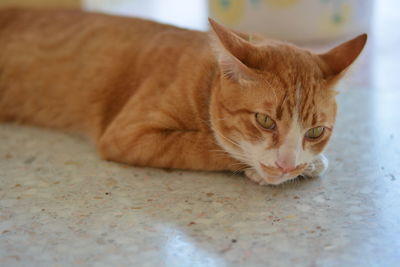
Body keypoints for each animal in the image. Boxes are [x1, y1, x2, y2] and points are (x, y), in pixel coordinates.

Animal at [0, 7, 366, 184]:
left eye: (315, 131)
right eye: (264, 121)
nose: (287, 165)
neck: (205, 77)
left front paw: (309, 162)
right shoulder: (129, 135)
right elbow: (206, 146)